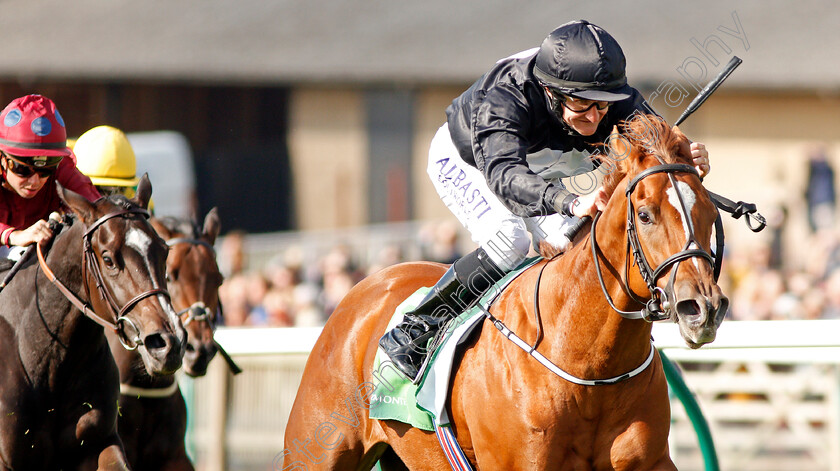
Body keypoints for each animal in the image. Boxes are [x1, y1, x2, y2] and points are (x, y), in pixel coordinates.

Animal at [282, 115, 728, 471]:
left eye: (710, 213)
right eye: (646, 214)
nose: (702, 308)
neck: (590, 366)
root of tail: (369, 284)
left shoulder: (648, 461)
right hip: (318, 452)